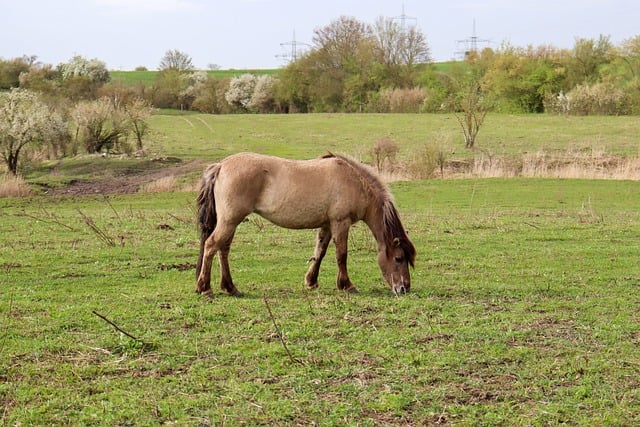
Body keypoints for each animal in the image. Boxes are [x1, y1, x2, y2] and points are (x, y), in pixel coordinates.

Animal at [195, 153, 416, 298]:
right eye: (398, 258)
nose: (404, 288)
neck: (354, 182)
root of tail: (221, 166)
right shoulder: (340, 223)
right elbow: (341, 255)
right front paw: (346, 285)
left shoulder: (327, 225)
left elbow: (320, 252)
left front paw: (311, 281)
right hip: (230, 221)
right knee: (211, 245)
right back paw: (205, 287)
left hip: (231, 222)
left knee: (223, 249)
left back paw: (230, 287)